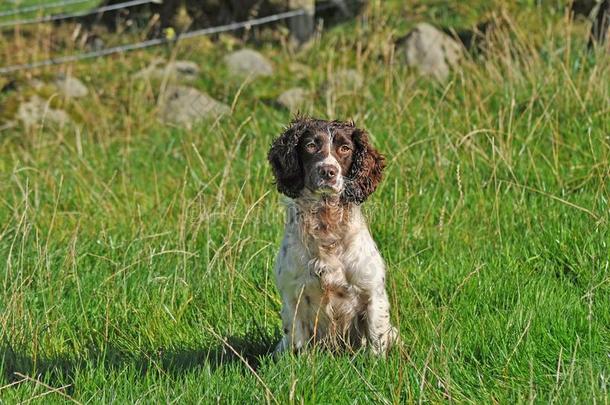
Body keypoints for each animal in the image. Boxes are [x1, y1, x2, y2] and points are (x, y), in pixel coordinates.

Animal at [268, 116, 400, 354]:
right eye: (310, 145)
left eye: (345, 148)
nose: (328, 171)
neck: (326, 224)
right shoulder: (292, 296)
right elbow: (296, 342)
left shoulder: (373, 293)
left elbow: (376, 338)